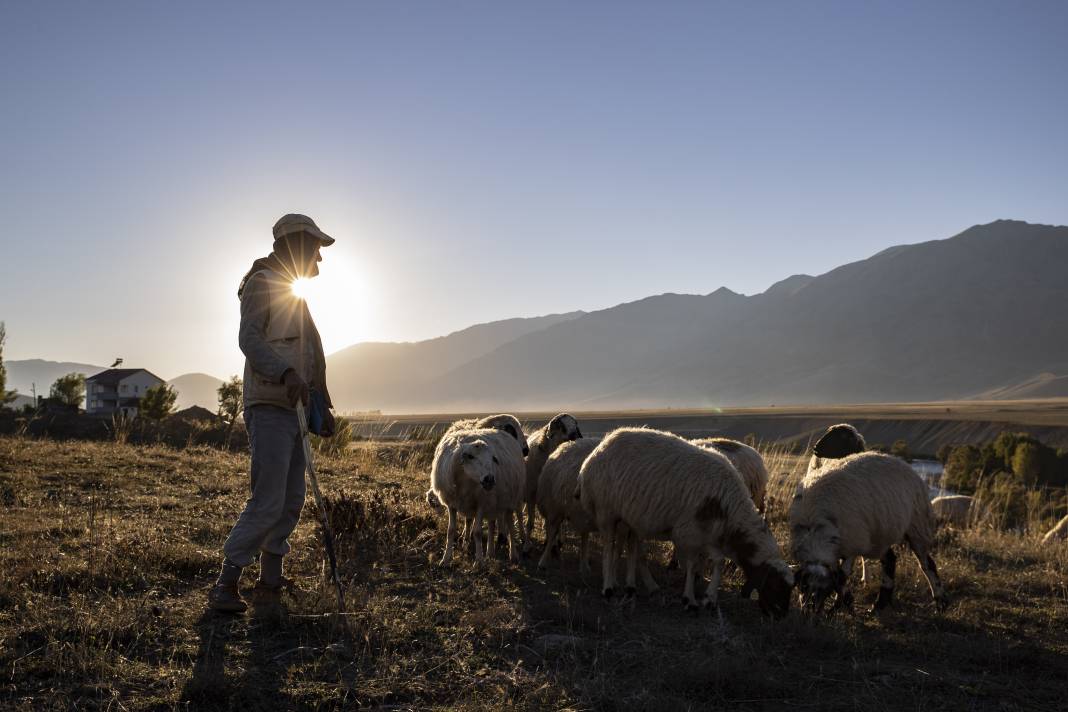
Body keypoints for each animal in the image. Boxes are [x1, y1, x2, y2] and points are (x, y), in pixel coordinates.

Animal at [425, 426, 525, 563]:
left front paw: (479, 561)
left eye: (493, 458)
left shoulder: (481, 504)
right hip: (494, 503)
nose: (489, 479)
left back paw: (513, 554)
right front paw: (446, 558)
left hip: (510, 499)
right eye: (471, 456)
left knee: (510, 524)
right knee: (492, 524)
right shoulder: (452, 503)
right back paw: (490, 553)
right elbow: (451, 530)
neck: (466, 479)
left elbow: (477, 532)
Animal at [519, 412, 580, 540]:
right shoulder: (531, 494)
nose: (574, 436)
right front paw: (527, 542)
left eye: (575, 424)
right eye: (561, 425)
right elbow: (530, 523)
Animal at [576, 429, 794, 619]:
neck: (729, 508)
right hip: (606, 510)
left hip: (631, 516)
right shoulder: (689, 533)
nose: (780, 616)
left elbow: (718, 562)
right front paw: (690, 600)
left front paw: (710, 599)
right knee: (609, 547)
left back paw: (632, 587)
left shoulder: (709, 536)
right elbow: (691, 565)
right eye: (775, 585)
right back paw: (609, 588)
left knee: (631, 548)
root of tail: (601, 447)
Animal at [790, 454, 948, 614]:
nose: (810, 610)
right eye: (803, 586)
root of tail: (901, 462)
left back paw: (940, 602)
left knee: (927, 564)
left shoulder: (852, 544)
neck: (814, 530)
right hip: (880, 533)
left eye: (825, 589)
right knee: (890, 560)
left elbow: (842, 575)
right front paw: (845, 602)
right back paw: (880, 603)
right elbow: (840, 576)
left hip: (917, 526)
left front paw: (838, 606)